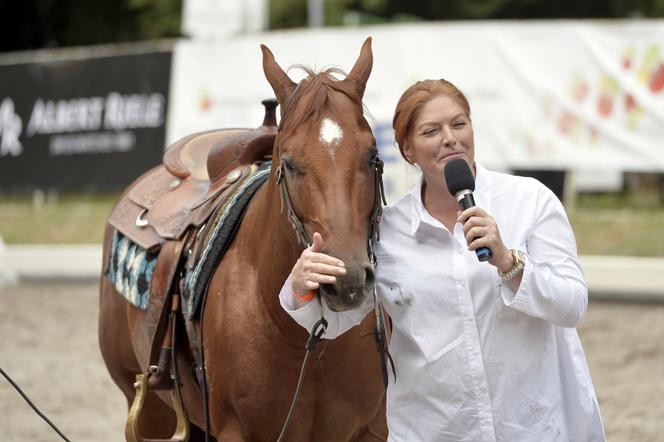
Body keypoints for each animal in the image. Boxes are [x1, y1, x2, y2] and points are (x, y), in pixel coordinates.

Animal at [99, 39, 390, 440]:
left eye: (373, 156)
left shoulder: (371, 428)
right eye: (289, 162)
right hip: (147, 407)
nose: (346, 281)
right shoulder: (235, 430)